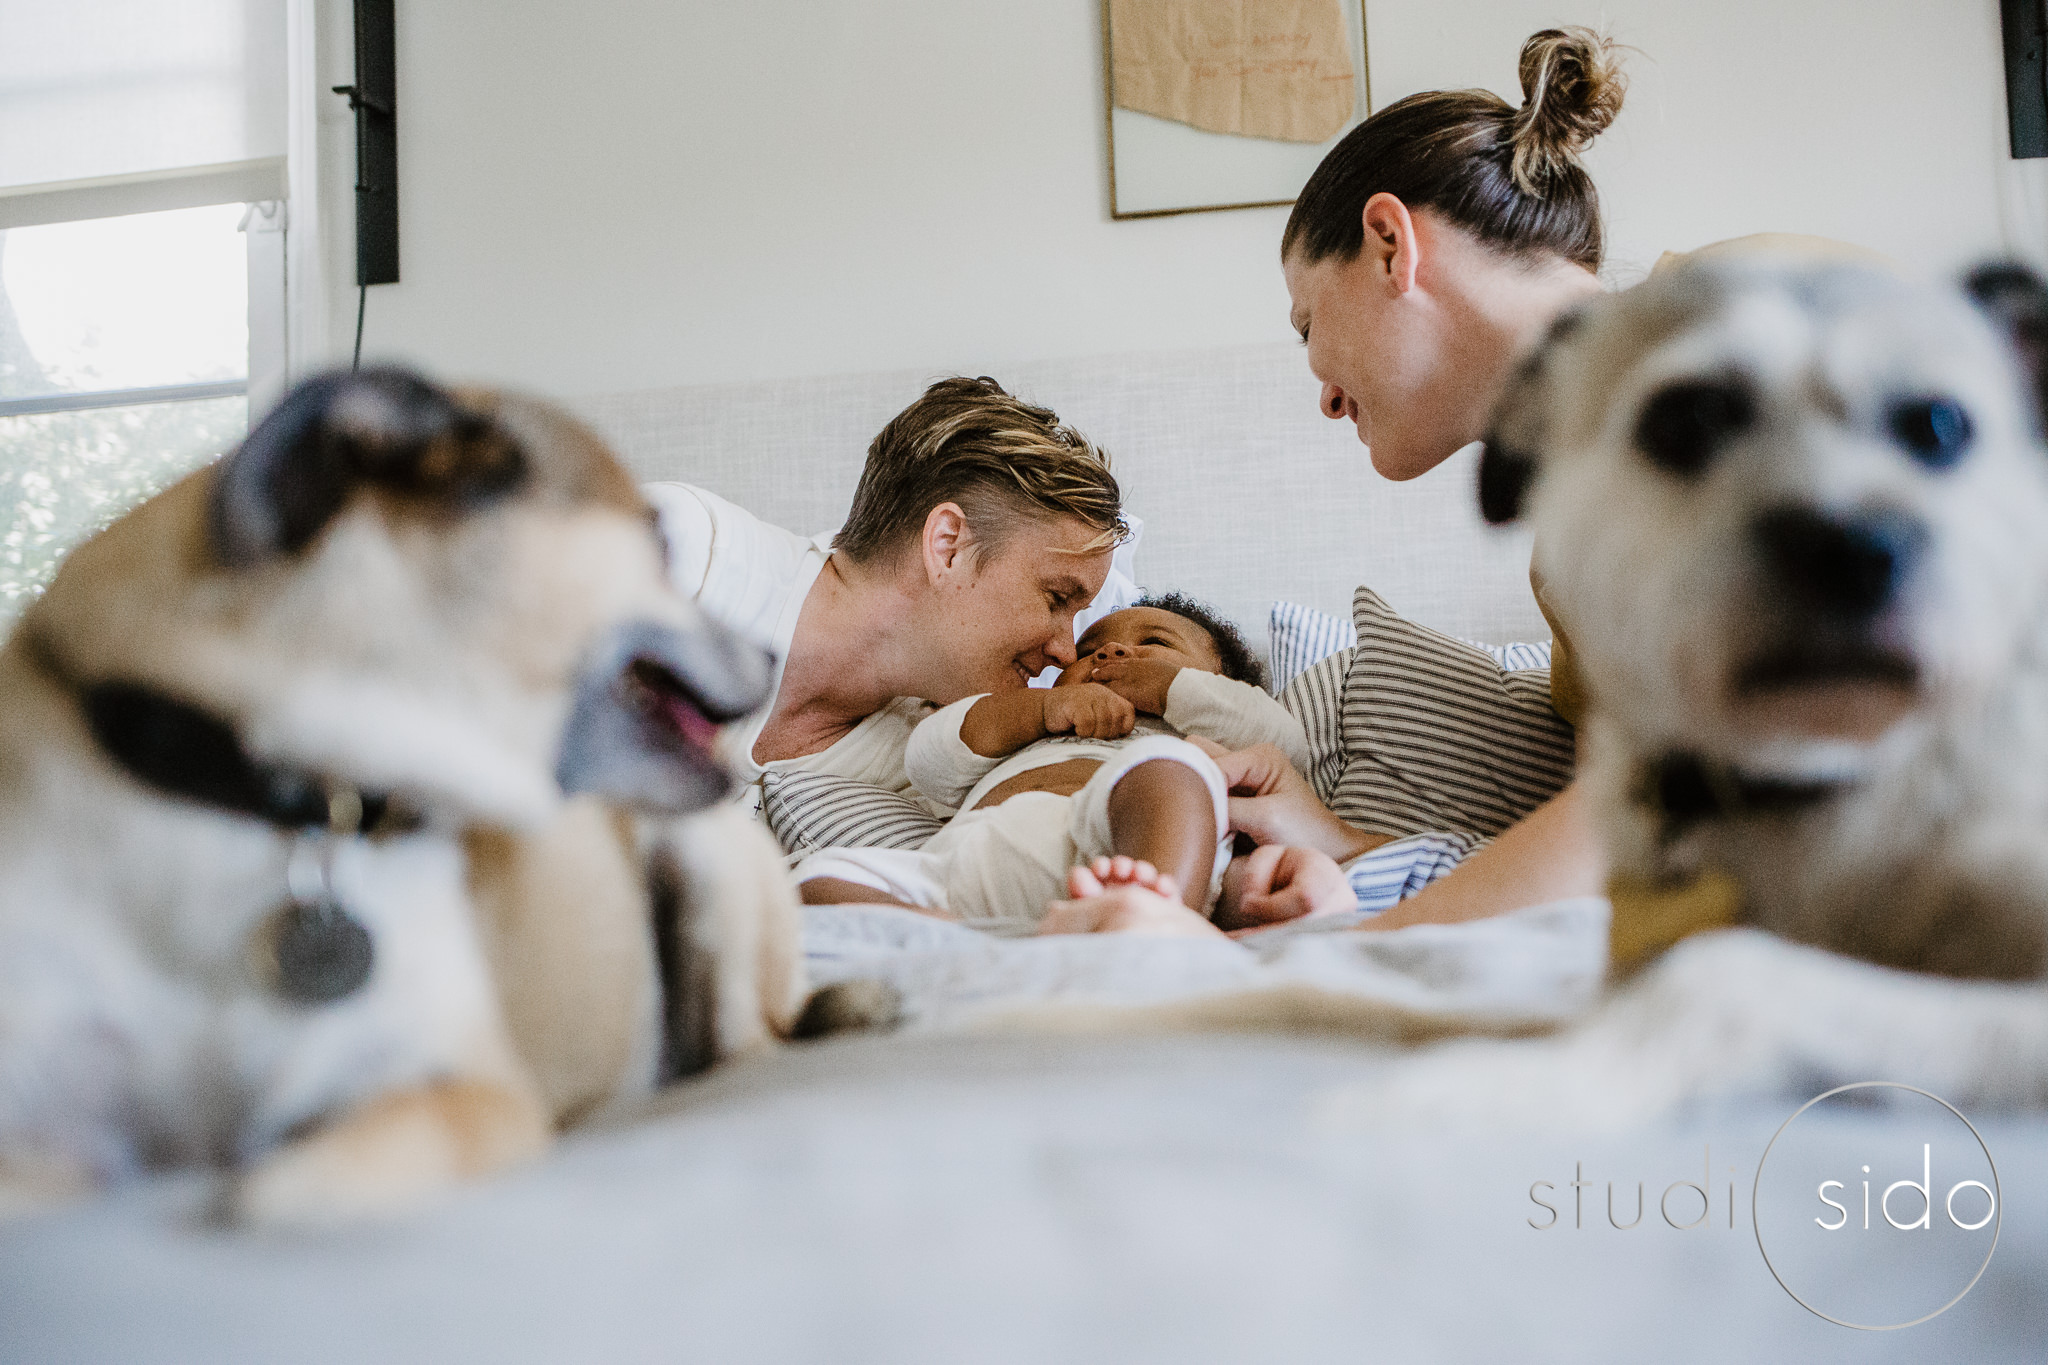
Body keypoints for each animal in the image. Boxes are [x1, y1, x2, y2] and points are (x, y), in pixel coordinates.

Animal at [0, 368, 806, 1219]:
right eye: (659, 542)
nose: (772, 651)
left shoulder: (458, 1088)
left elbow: (271, 1193)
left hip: (711, 870)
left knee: (752, 1043)